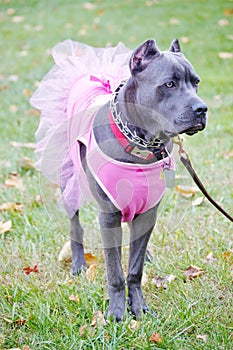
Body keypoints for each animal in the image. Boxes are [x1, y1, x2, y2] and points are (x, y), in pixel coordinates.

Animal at [31, 37, 208, 320]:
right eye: (169, 84)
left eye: (196, 82)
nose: (202, 109)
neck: (141, 144)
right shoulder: (109, 215)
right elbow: (114, 270)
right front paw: (116, 312)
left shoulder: (149, 211)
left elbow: (134, 268)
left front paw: (139, 307)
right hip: (68, 180)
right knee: (75, 224)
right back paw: (78, 264)